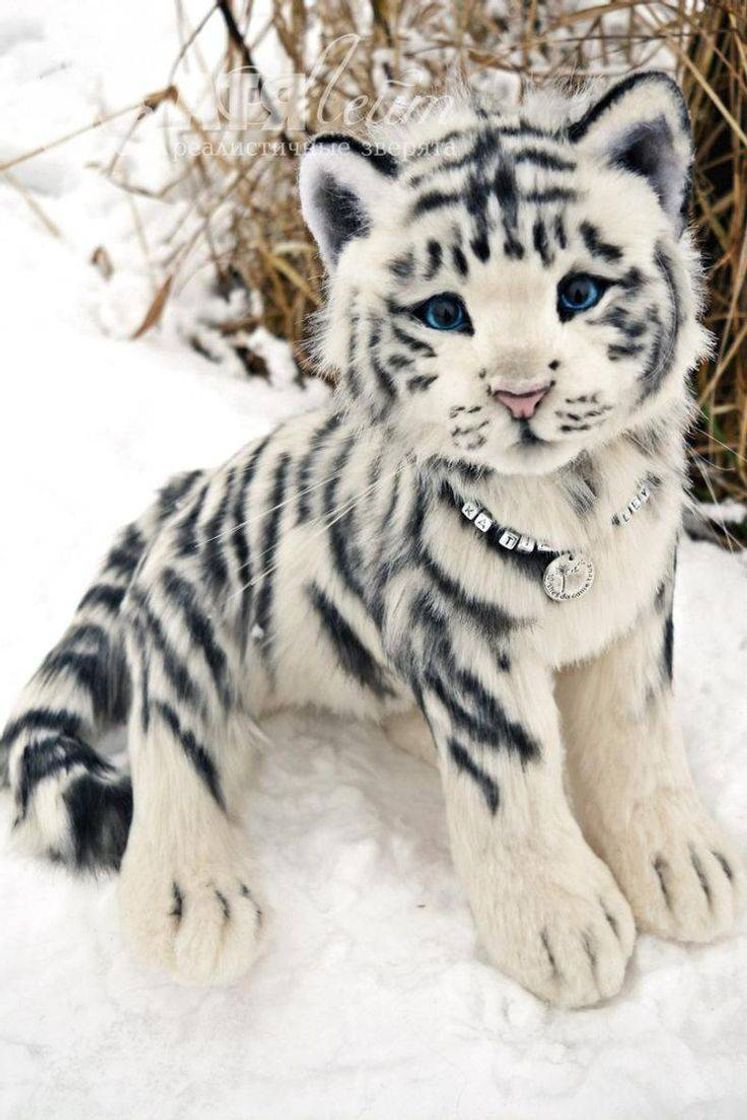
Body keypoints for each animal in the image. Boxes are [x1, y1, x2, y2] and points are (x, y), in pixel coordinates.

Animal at [1, 71, 742, 1009]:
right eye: (445, 313)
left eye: (577, 293)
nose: (521, 392)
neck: (570, 511)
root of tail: (184, 492)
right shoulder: (463, 640)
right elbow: (510, 778)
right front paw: (560, 924)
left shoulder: (635, 611)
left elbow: (637, 742)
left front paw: (681, 866)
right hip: (189, 619)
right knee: (175, 740)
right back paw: (194, 902)